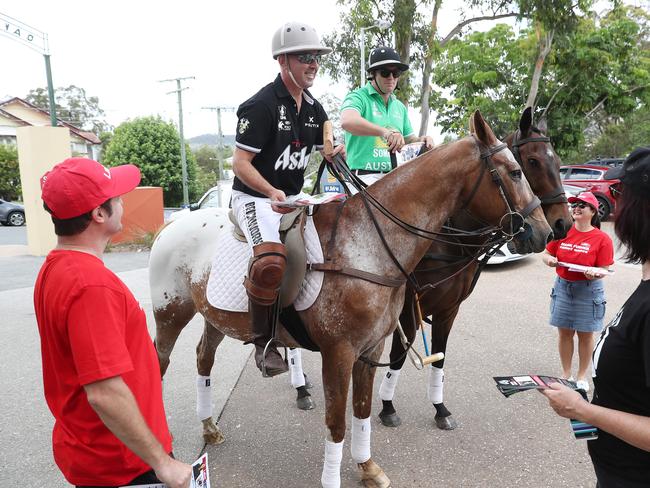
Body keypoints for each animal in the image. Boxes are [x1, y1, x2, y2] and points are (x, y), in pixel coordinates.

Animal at [149, 111, 548, 488]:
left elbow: (361, 411)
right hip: (170, 312)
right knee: (160, 361)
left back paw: (209, 426)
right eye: (518, 170)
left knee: (203, 357)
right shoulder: (338, 353)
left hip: (214, 315)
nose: (543, 233)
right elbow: (336, 421)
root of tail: (171, 223)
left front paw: (367, 467)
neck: (369, 244)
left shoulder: (372, 349)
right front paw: (333, 478)